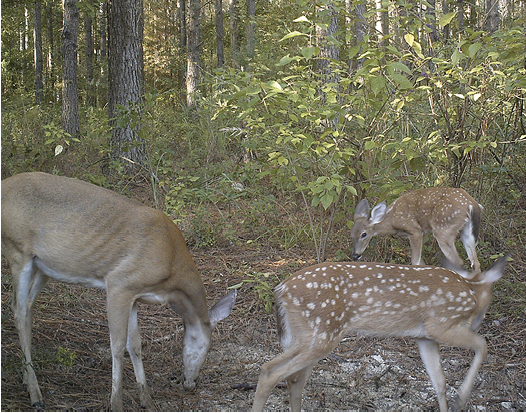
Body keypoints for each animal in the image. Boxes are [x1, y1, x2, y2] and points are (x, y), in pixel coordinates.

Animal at [1, 172, 237, 410]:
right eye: (204, 346)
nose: (191, 383)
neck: (172, 268)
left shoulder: (134, 295)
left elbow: (136, 345)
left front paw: (147, 400)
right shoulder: (119, 283)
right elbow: (117, 345)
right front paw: (116, 403)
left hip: (43, 267)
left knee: (27, 306)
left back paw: (26, 378)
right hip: (17, 250)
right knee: (19, 311)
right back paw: (35, 394)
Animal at [254, 256, 510, 410]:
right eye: (490, 299)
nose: (476, 323)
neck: (471, 292)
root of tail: (281, 290)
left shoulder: (424, 337)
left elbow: (439, 381)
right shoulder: (440, 324)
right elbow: (482, 344)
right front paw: (462, 398)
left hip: (308, 335)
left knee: (292, 379)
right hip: (322, 333)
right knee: (270, 371)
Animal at [352, 187, 484, 270]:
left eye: (364, 234)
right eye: (352, 235)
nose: (355, 255)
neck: (392, 221)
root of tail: (473, 204)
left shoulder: (415, 230)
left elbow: (415, 261)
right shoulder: (424, 232)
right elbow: (421, 262)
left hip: (444, 228)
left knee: (458, 261)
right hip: (466, 231)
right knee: (475, 263)